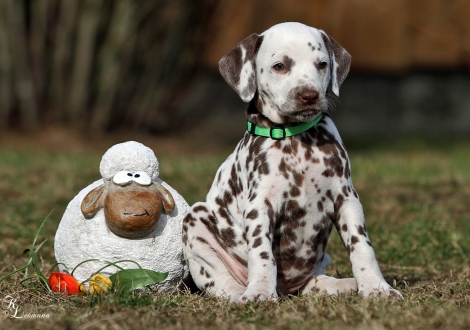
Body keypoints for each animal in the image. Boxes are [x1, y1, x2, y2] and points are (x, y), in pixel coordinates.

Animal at [182, 21, 402, 302]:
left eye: (322, 64)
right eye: (280, 66)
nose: (309, 95)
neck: (296, 139)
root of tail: (287, 290)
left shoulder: (346, 198)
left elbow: (361, 246)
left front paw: (376, 287)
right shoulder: (260, 205)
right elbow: (262, 253)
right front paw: (260, 292)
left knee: (314, 283)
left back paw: (345, 285)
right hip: (195, 222)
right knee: (218, 281)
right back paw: (241, 292)